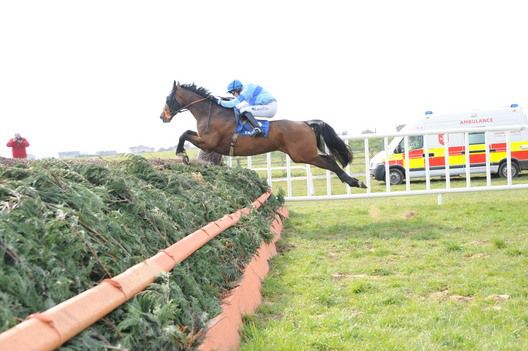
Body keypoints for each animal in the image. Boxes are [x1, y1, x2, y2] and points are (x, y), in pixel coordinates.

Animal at [161, 82, 368, 190]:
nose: (162, 117)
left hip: (303, 154)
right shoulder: (206, 141)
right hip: (304, 154)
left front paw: (181, 154)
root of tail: (305, 123)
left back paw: (355, 181)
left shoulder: (208, 143)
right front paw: (182, 154)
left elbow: (184, 135)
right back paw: (353, 181)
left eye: (168, 98)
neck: (211, 113)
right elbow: (187, 133)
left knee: (331, 161)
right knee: (330, 159)